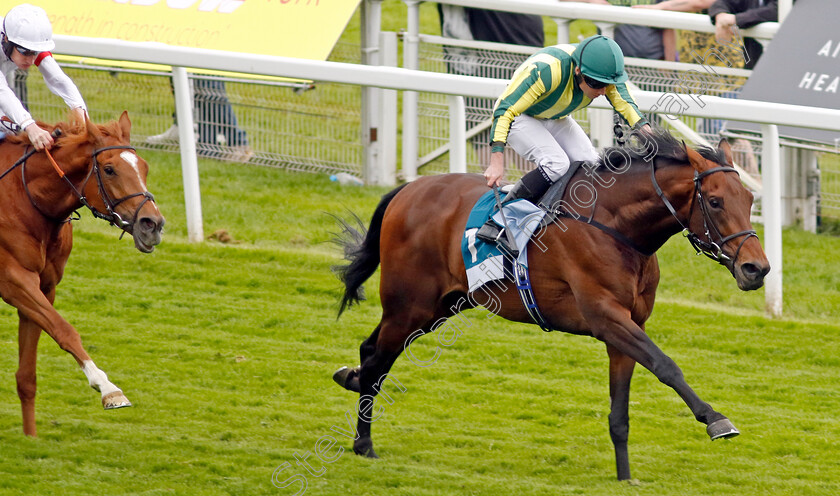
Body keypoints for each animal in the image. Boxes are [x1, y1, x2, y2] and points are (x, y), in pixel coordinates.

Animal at [0, 111, 164, 434]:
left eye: (144, 167)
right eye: (109, 169)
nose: (152, 224)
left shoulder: (44, 287)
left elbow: (27, 377)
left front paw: (30, 437)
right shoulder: (13, 279)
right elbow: (65, 330)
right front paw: (109, 389)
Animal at [332, 129, 772, 480]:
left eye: (749, 198)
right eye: (714, 202)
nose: (757, 268)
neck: (616, 226)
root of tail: (407, 190)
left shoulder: (628, 327)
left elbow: (620, 413)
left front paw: (625, 478)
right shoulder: (607, 317)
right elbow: (667, 366)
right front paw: (716, 420)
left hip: (439, 306)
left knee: (372, 351)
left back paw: (350, 379)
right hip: (410, 305)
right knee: (378, 362)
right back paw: (363, 443)